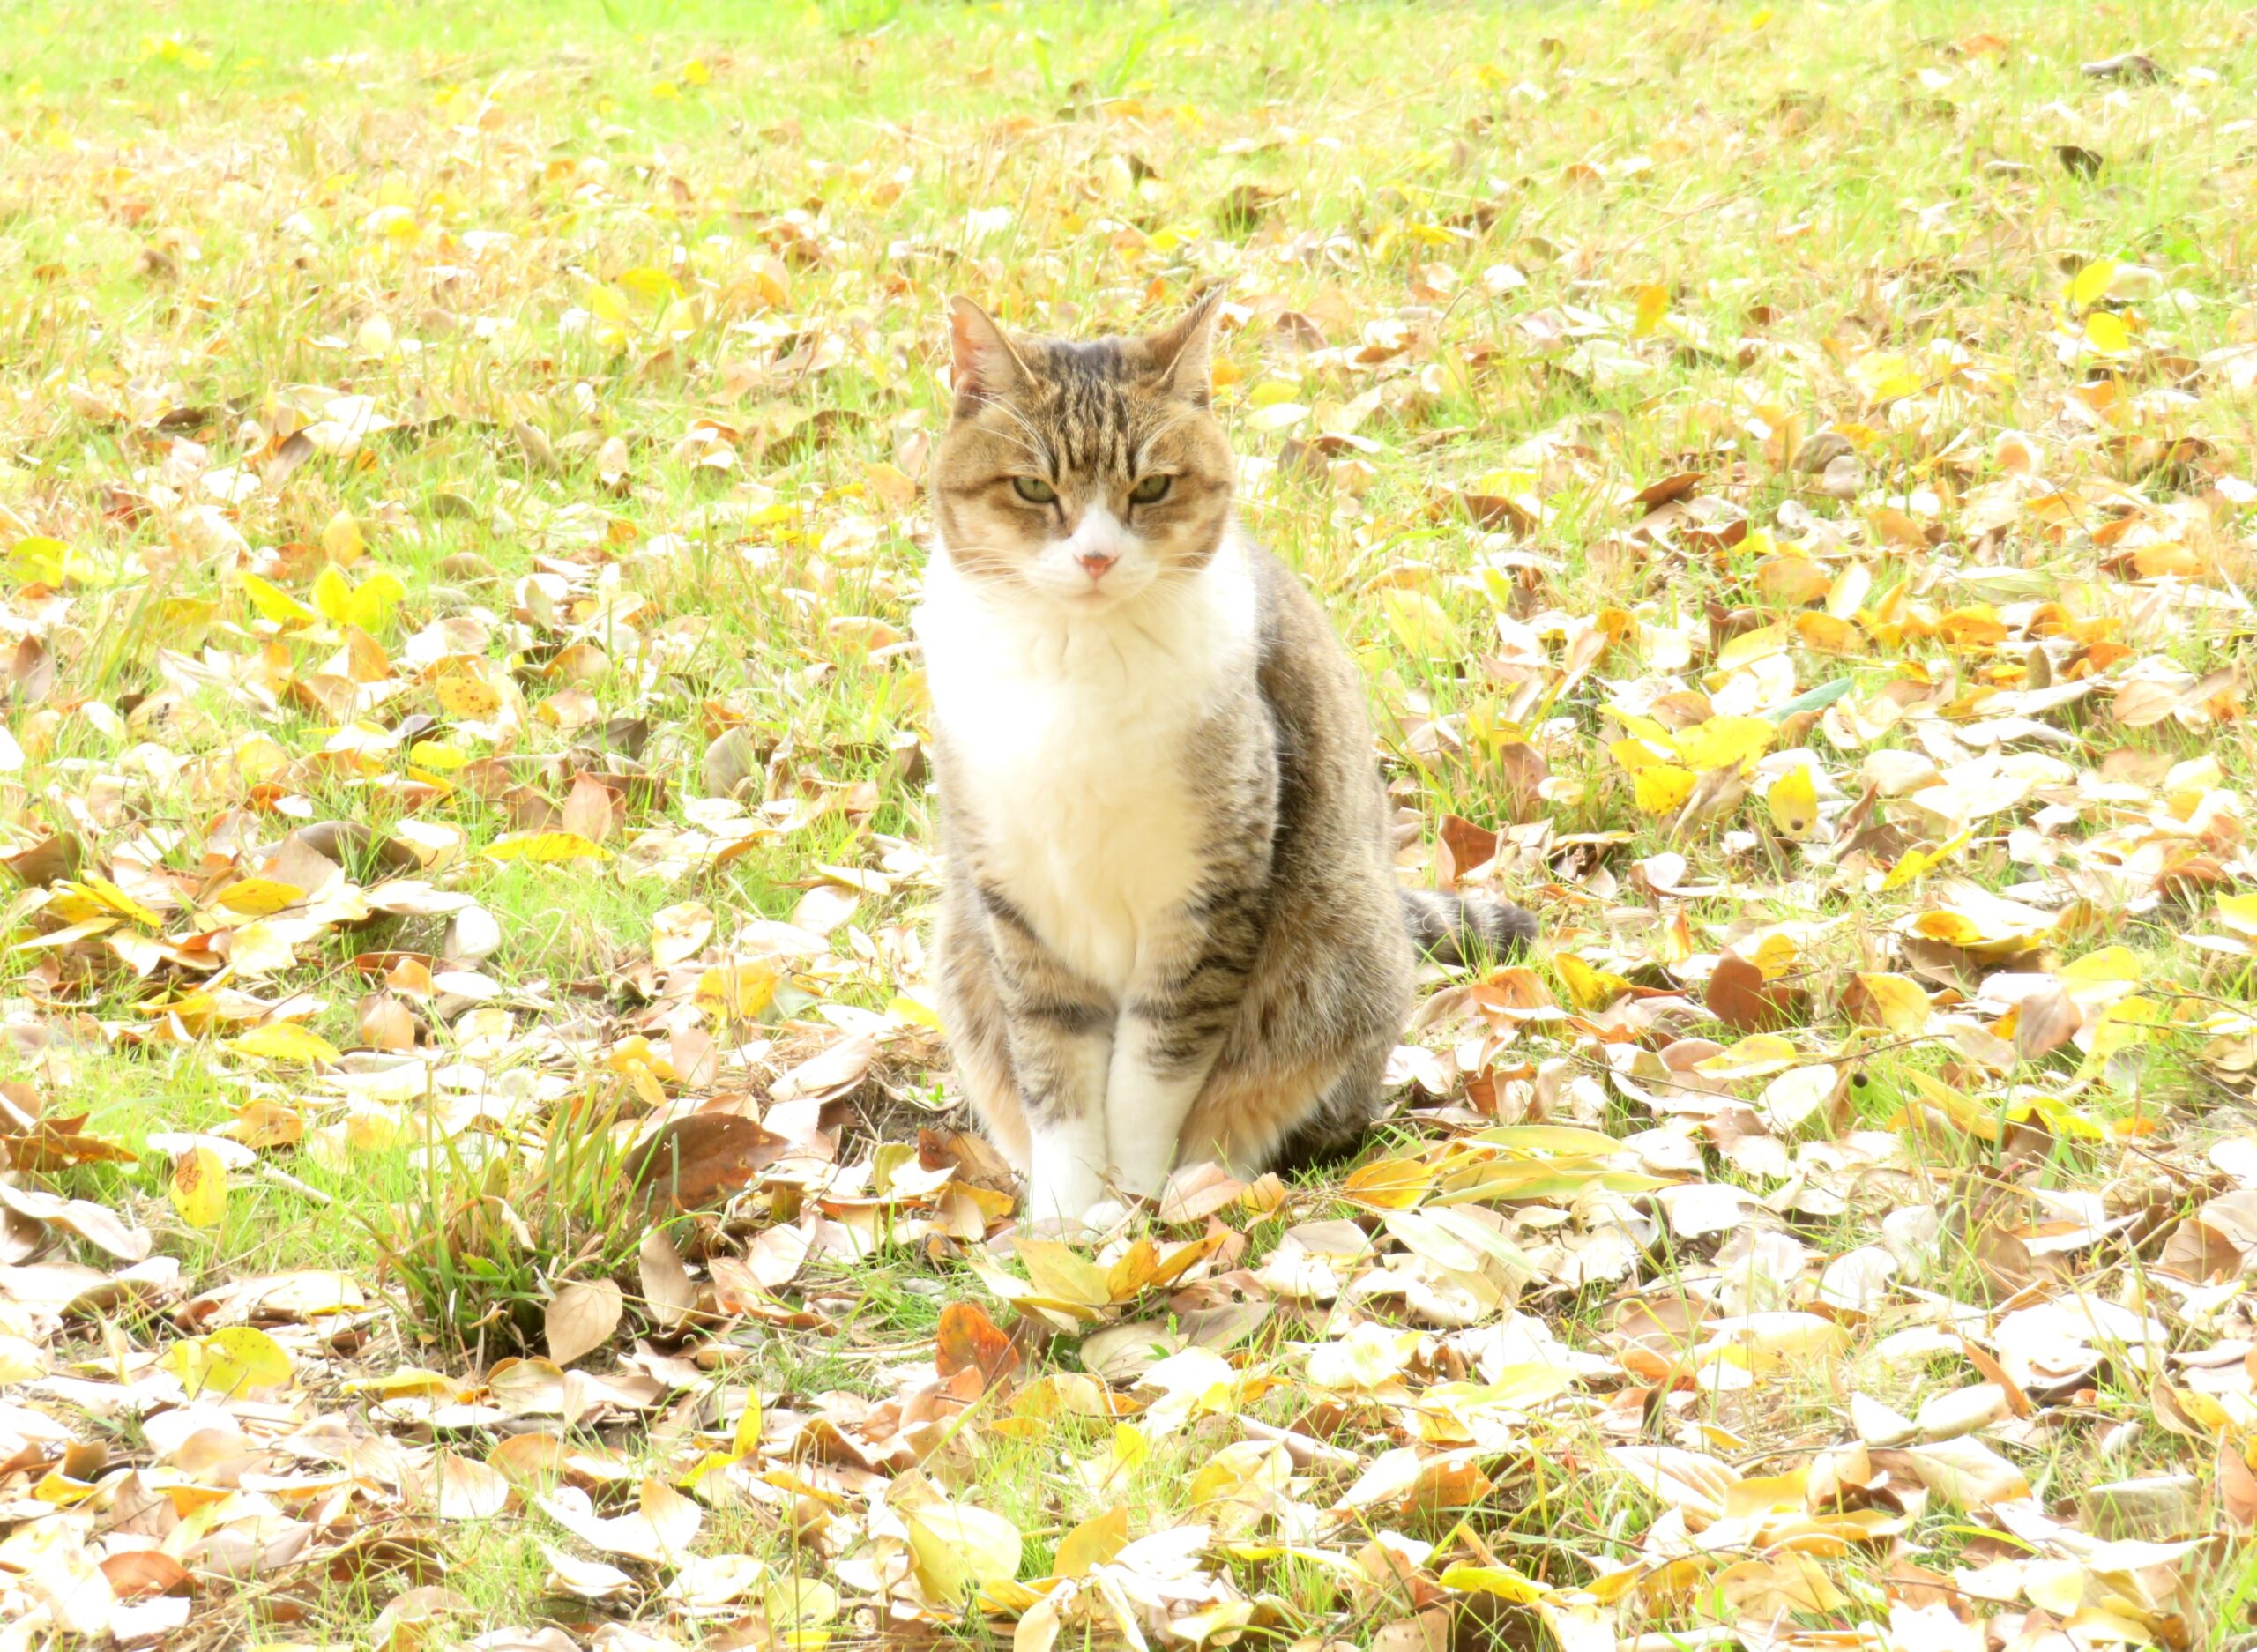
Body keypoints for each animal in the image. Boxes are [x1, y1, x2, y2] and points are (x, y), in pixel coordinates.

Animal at [912, 293, 1534, 1227]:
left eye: (1151, 486)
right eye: (1031, 487)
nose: (1096, 557)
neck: (1075, 661)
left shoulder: (1207, 897)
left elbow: (1150, 1074)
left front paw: (1134, 1209)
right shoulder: (1017, 906)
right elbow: (1054, 1072)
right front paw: (1065, 1219)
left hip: (1336, 956)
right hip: (962, 948)